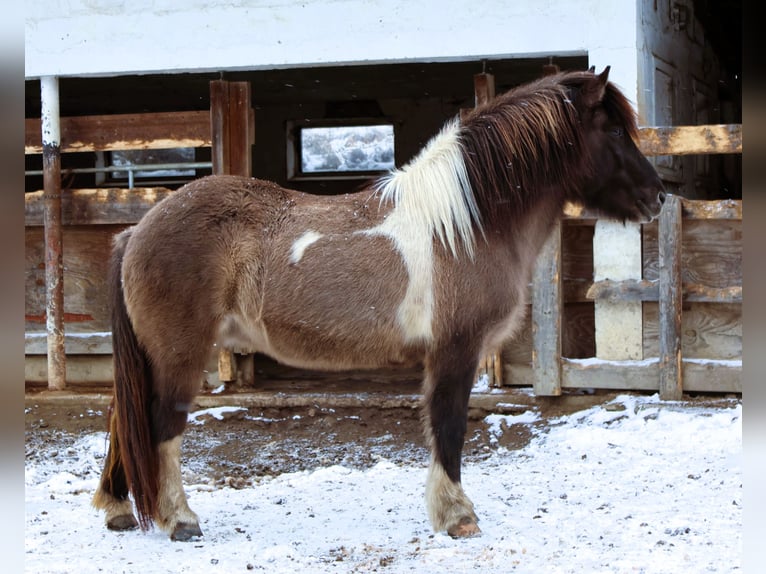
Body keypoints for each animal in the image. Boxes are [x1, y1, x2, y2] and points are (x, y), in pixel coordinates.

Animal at [92, 66, 665, 540]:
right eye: (614, 132)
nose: (658, 197)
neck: (464, 223)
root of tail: (137, 230)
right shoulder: (456, 351)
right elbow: (449, 427)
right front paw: (458, 517)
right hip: (180, 355)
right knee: (161, 426)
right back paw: (179, 520)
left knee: (124, 419)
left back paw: (119, 510)